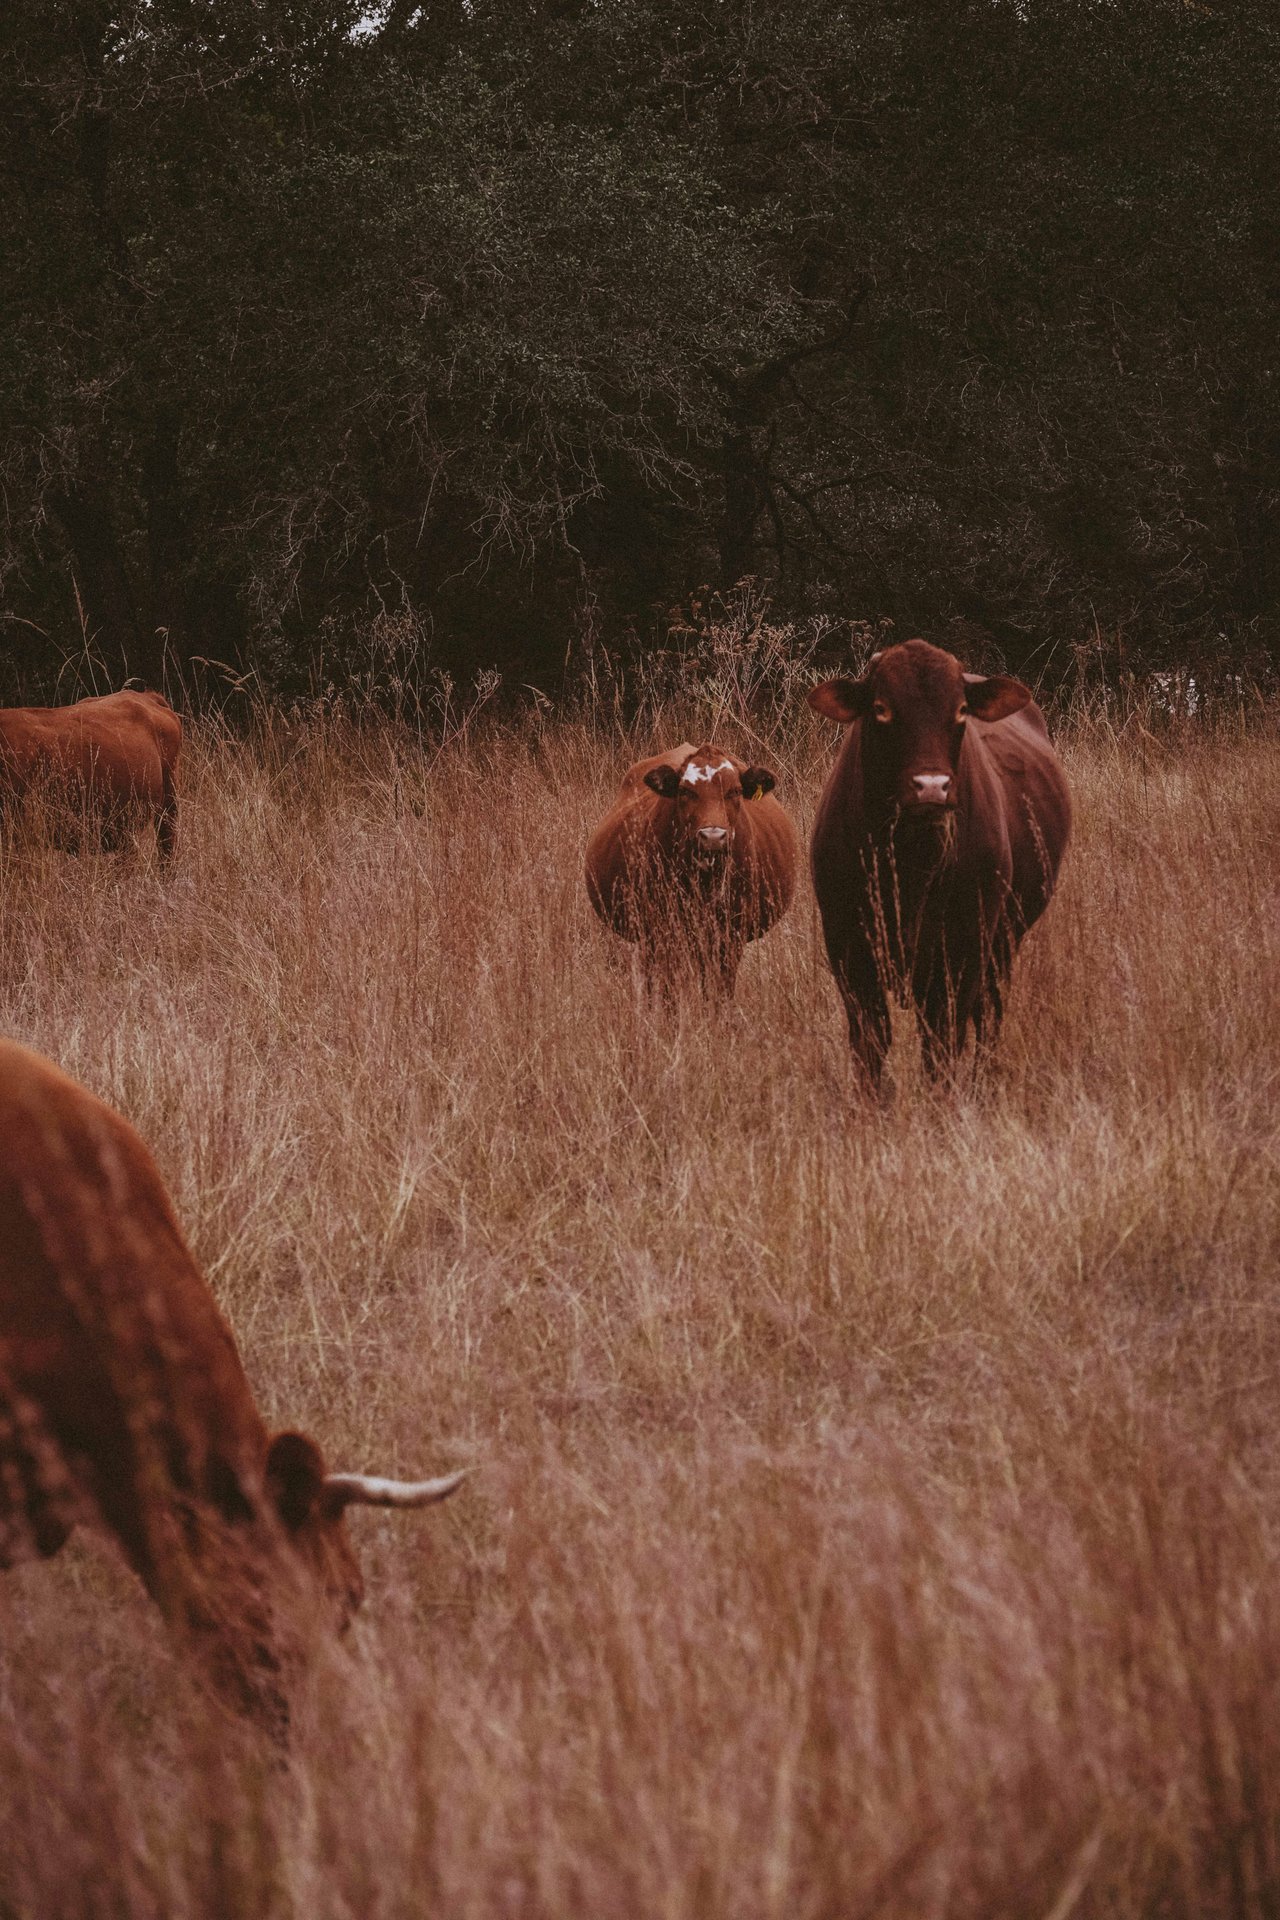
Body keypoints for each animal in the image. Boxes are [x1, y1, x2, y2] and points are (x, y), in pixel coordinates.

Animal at [587, 741, 794, 998]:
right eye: (685, 791)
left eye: (735, 791)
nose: (713, 837)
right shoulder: (663, 934)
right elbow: (669, 991)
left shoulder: (730, 938)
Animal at [809, 641, 1074, 1090]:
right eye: (881, 708)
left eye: (961, 710)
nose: (931, 787)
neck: (908, 861)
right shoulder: (848, 948)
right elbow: (870, 1041)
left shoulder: (963, 951)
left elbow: (943, 1042)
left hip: (1002, 943)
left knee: (988, 1018)